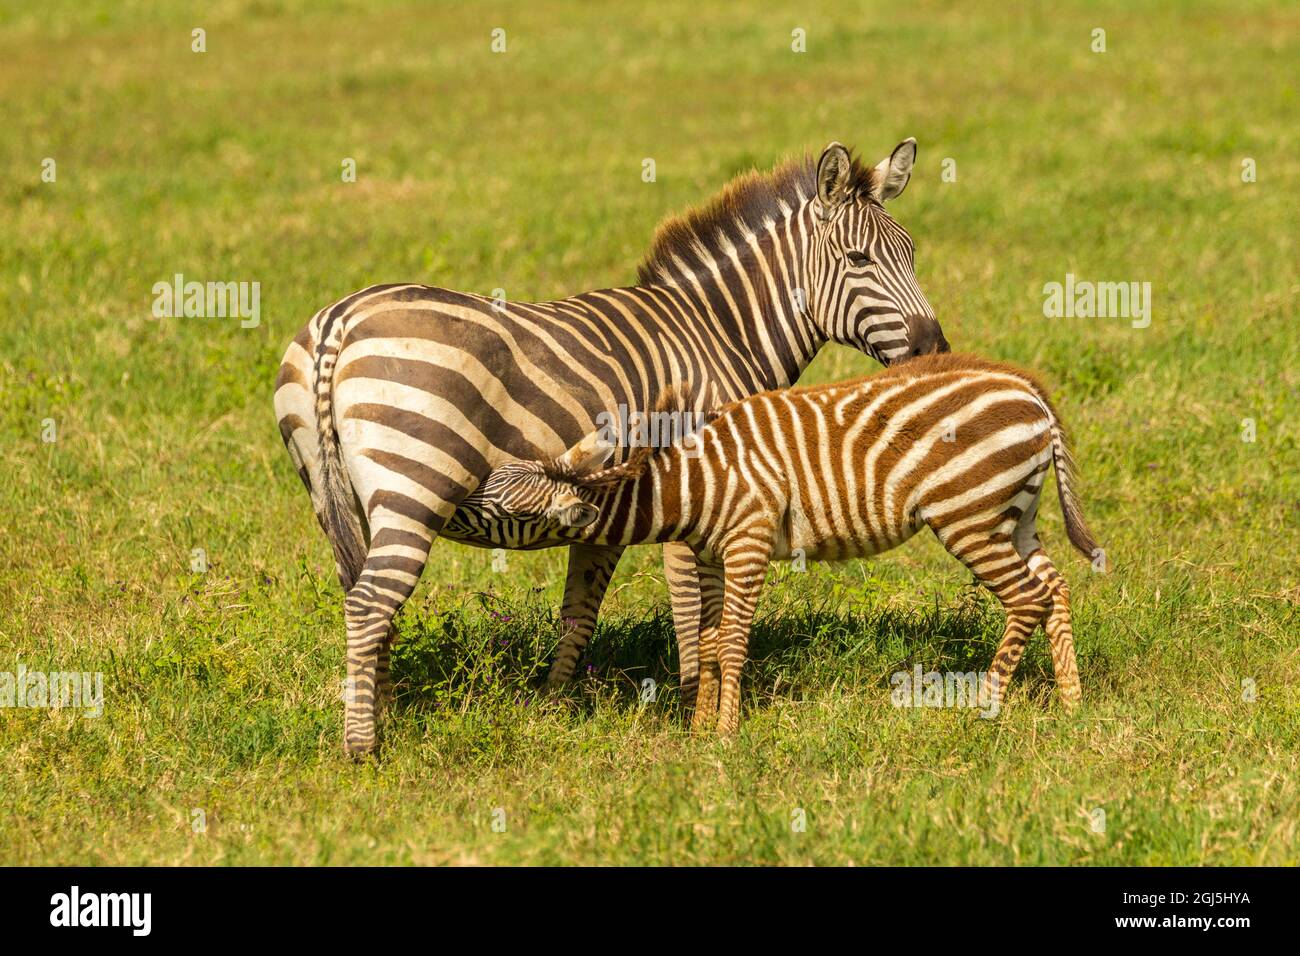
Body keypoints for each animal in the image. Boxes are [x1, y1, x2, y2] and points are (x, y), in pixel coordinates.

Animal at [276, 141, 946, 754]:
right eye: (858, 259)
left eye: (911, 253)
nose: (934, 350)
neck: (718, 333)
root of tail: (340, 322)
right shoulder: (702, 486)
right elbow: (696, 611)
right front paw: (693, 712)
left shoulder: (612, 510)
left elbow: (580, 610)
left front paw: (553, 707)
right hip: (414, 486)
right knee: (370, 603)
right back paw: (364, 746)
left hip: (338, 498)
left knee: (363, 599)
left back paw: (382, 712)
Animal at [473, 356, 1102, 738]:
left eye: (503, 514)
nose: (455, 500)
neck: (690, 483)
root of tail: (1029, 391)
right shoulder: (710, 555)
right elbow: (706, 641)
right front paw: (699, 731)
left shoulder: (748, 543)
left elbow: (731, 642)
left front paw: (725, 736)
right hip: (1014, 515)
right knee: (1054, 587)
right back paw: (1071, 703)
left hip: (969, 514)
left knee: (1025, 598)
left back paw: (983, 707)